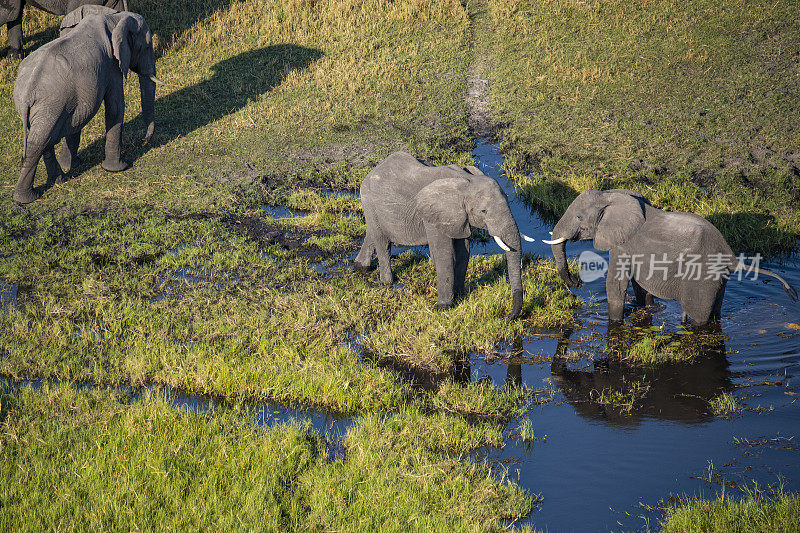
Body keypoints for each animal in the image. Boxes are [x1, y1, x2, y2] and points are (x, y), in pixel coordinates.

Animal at [11, 10, 162, 206]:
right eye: (146, 47)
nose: (143, 141)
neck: (116, 18)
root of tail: (26, 91)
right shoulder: (111, 65)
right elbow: (115, 107)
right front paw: (119, 169)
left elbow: (79, 118)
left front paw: (75, 165)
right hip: (50, 104)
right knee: (39, 141)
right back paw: (26, 199)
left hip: (47, 107)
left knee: (45, 137)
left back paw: (59, 181)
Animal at [354, 153, 536, 320]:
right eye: (483, 211)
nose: (509, 316)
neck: (467, 182)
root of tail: (373, 170)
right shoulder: (433, 216)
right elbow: (444, 254)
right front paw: (443, 308)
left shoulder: (459, 217)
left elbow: (463, 252)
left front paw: (461, 296)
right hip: (369, 202)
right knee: (382, 243)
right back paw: (387, 283)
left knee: (371, 234)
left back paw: (360, 267)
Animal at [540, 190, 796, 324]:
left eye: (579, 217)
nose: (577, 284)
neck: (611, 196)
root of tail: (731, 256)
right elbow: (639, 284)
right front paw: (645, 309)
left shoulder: (622, 245)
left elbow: (616, 285)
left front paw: (614, 322)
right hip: (717, 278)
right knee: (715, 312)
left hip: (702, 277)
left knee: (699, 317)